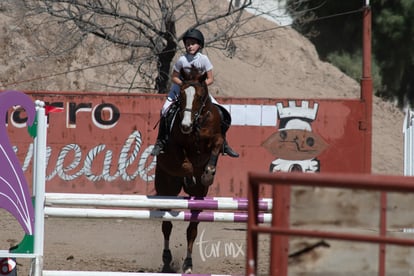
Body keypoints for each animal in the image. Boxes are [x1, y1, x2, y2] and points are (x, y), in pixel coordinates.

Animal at [154, 66, 225, 272]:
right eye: (182, 95)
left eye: (200, 97)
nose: (185, 125)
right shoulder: (175, 148)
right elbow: (186, 163)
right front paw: (191, 176)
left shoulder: (215, 138)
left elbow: (217, 145)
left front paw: (208, 173)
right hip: (165, 189)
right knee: (167, 225)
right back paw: (167, 259)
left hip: (199, 198)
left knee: (192, 229)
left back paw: (188, 263)